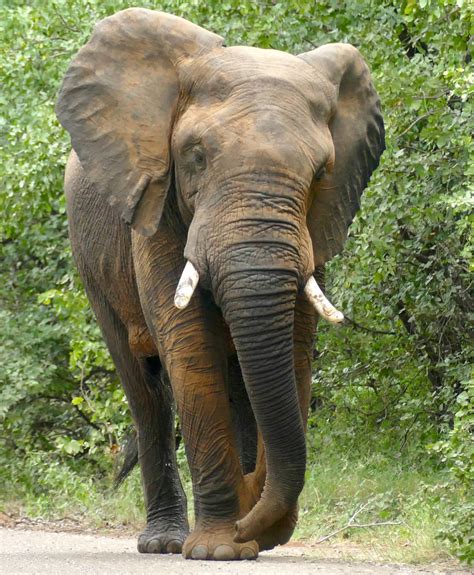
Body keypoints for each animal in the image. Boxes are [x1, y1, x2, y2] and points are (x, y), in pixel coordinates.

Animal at [54, 7, 386, 564]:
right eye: (195, 157)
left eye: (322, 172)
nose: (254, 518)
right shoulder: (157, 206)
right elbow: (191, 346)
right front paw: (217, 549)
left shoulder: (315, 227)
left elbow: (295, 345)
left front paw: (255, 536)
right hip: (90, 256)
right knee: (144, 388)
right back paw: (166, 541)